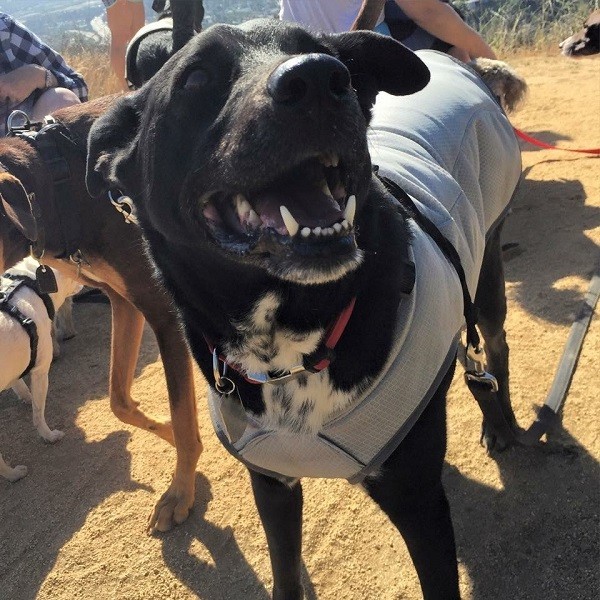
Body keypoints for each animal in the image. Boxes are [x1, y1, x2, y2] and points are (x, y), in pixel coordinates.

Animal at [0, 255, 81, 480]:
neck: (32, 281)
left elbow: (18, 383)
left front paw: (24, 395)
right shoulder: (40, 371)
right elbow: (38, 412)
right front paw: (48, 435)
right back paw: (12, 474)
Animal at [86, 19, 524, 600]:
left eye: (326, 56)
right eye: (196, 77)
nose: (319, 79)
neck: (287, 345)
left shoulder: (417, 502)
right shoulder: (272, 485)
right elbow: (286, 576)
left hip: (488, 271)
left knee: (491, 347)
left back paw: (501, 422)